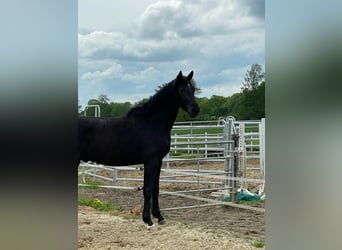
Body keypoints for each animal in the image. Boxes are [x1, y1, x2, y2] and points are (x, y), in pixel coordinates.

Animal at [78, 70, 199, 227]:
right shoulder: (150, 161)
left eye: (193, 89)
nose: (195, 109)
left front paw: (159, 216)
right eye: (181, 90)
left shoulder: (158, 162)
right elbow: (147, 190)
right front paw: (147, 219)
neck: (152, 123)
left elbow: (156, 189)